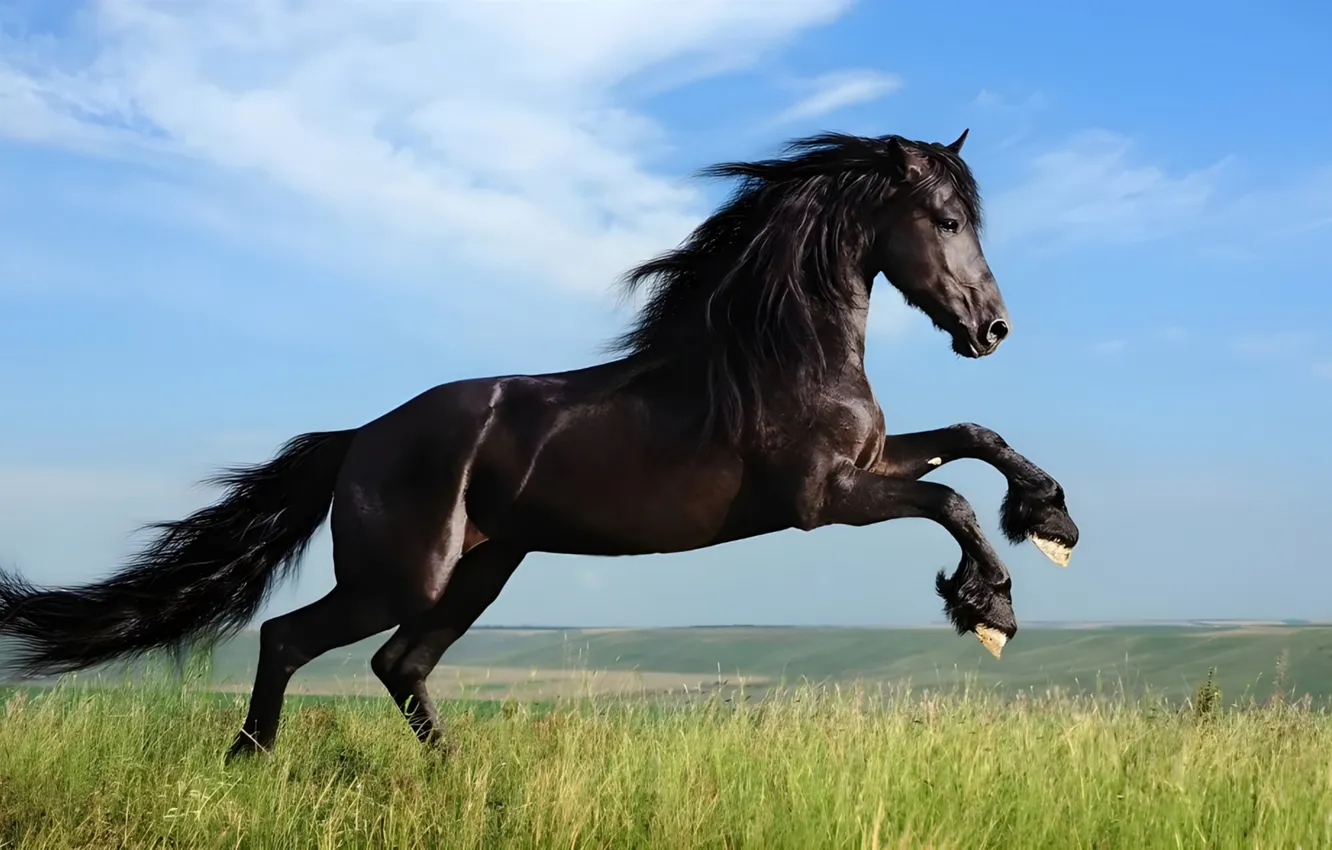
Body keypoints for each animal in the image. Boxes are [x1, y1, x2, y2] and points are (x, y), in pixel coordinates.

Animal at [0, 129, 1079, 759]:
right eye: (946, 217)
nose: (991, 329)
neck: (776, 353)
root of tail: (360, 440)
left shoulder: (867, 463)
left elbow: (974, 438)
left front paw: (1051, 521)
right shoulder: (821, 498)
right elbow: (947, 498)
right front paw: (989, 608)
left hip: (482, 568)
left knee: (400, 666)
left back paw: (451, 775)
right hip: (401, 574)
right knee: (292, 639)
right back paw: (251, 760)